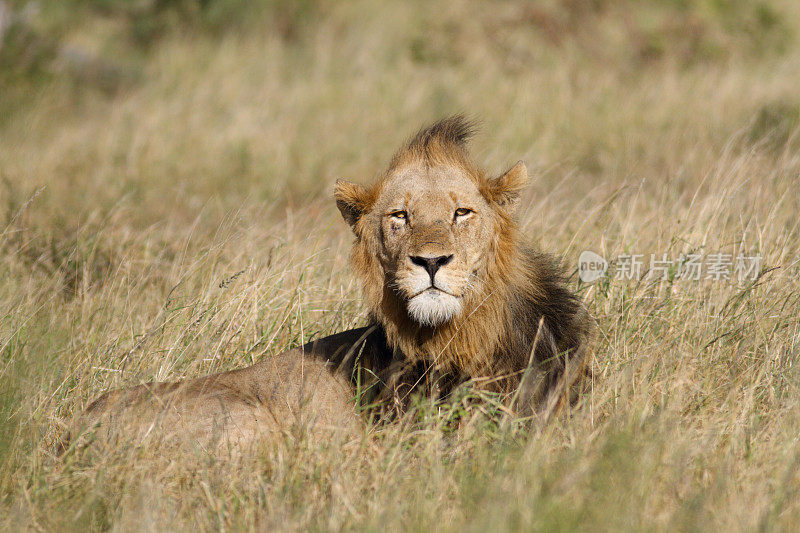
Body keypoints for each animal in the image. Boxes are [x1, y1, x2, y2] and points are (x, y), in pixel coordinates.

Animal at [67, 116, 588, 454]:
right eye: (400, 216)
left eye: (462, 212)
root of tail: (71, 435)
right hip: (252, 420)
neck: (463, 336)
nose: (431, 261)